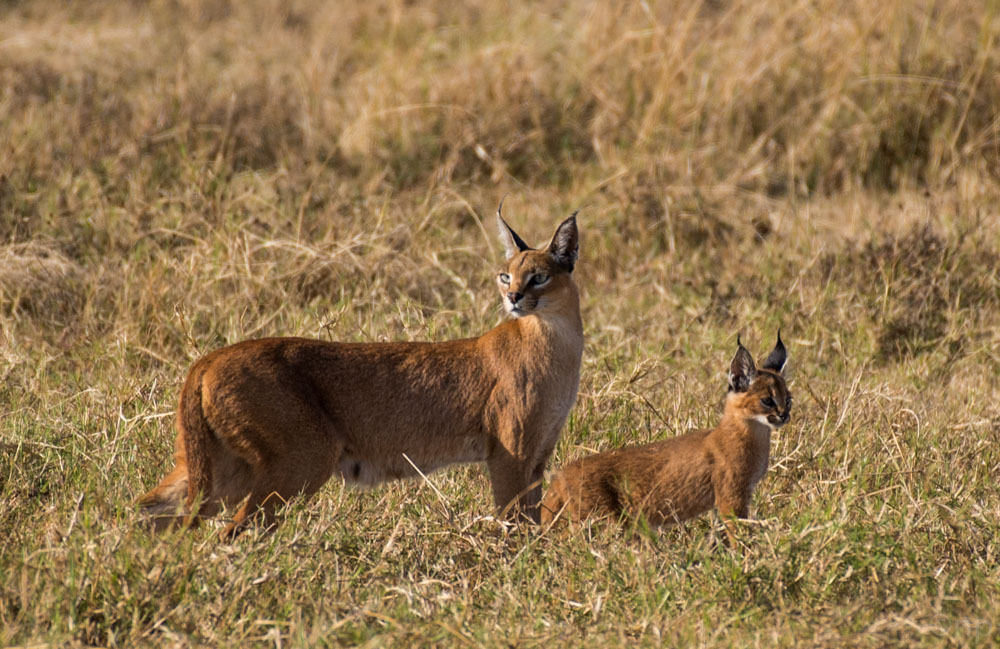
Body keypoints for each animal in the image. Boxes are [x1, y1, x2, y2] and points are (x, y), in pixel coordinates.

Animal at [137, 204, 584, 536]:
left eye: (538, 277)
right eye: (506, 275)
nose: (513, 297)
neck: (557, 337)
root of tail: (208, 358)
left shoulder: (537, 456)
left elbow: (533, 519)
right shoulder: (511, 454)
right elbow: (517, 521)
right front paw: (519, 568)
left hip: (225, 469)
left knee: (148, 510)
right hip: (302, 457)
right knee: (236, 529)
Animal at [540, 332, 788, 544]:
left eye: (789, 399)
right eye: (767, 400)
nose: (785, 414)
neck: (751, 434)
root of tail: (562, 473)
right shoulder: (732, 497)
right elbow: (739, 533)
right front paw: (745, 556)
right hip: (596, 521)